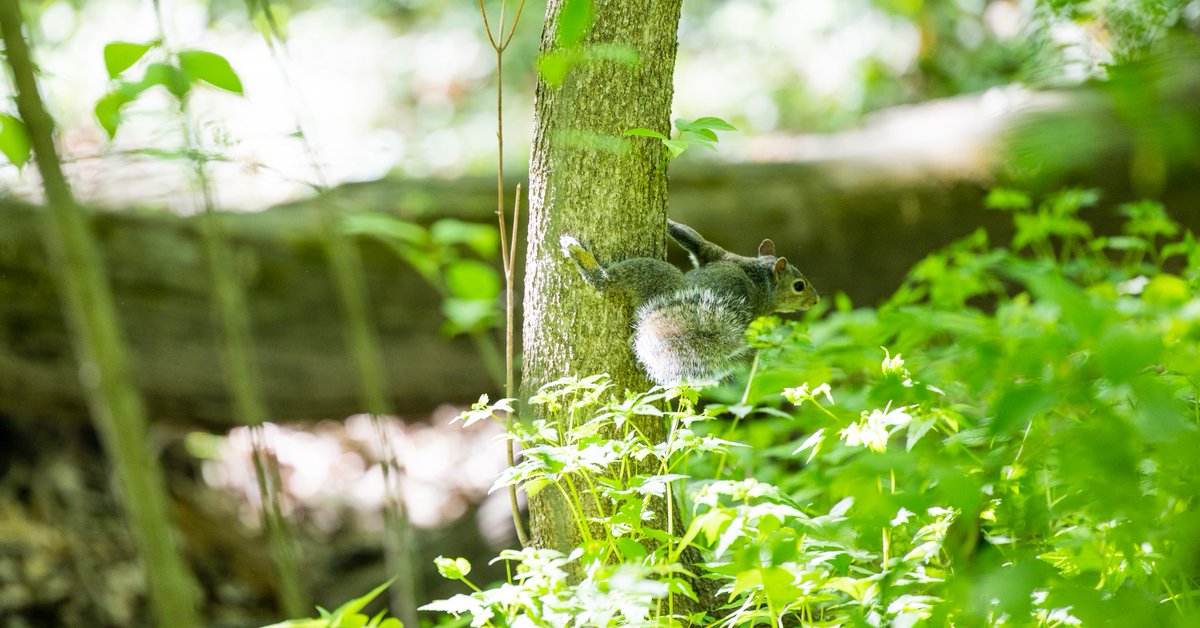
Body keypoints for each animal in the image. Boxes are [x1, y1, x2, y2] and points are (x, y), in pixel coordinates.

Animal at [559, 219, 819, 386]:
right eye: (799, 285)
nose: (815, 300)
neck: (760, 279)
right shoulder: (718, 253)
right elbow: (693, 239)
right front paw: (669, 224)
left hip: (656, 277)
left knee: (605, 282)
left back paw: (581, 256)